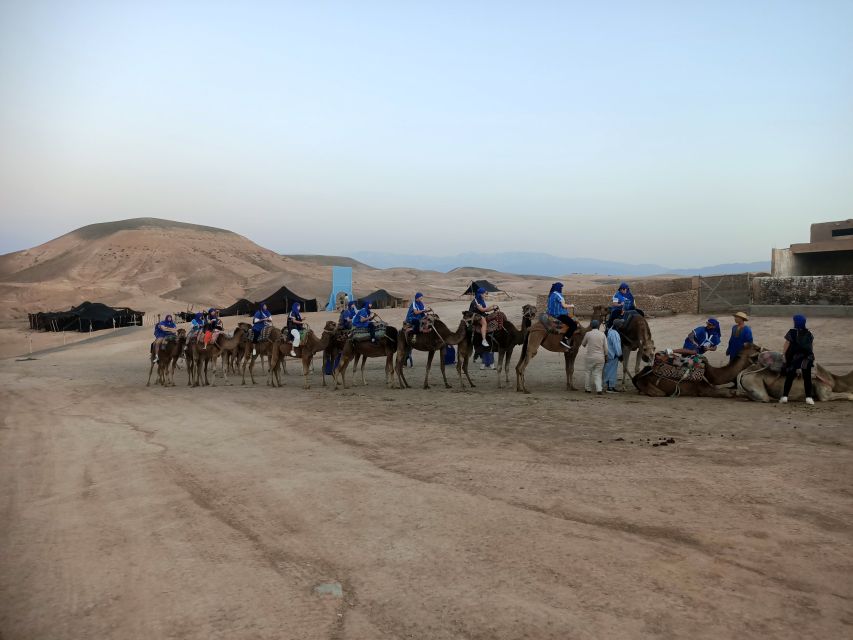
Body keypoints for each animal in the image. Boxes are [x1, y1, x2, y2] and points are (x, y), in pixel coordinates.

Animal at [628, 342, 764, 398]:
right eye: (755, 348)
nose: (763, 349)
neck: (712, 374)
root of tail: (637, 376)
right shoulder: (704, 390)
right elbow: (730, 393)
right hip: (649, 385)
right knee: (660, 393)